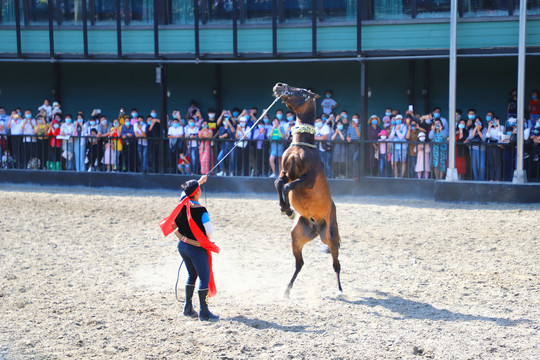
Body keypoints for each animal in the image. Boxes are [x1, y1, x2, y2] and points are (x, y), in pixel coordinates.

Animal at [272, 82, 344, 298]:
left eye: (302, 92)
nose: (279, 85)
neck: (300, 148)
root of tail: (315, 227)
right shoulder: (285, 172)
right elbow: (278, 183)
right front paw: (285, 208)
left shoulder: (308, 180)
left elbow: (288, 186)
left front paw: (287, 209)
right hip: (297, 237)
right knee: (300, 263)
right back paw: (286, 290)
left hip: (331, 237)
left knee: (336, 264)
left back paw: (340, 290)